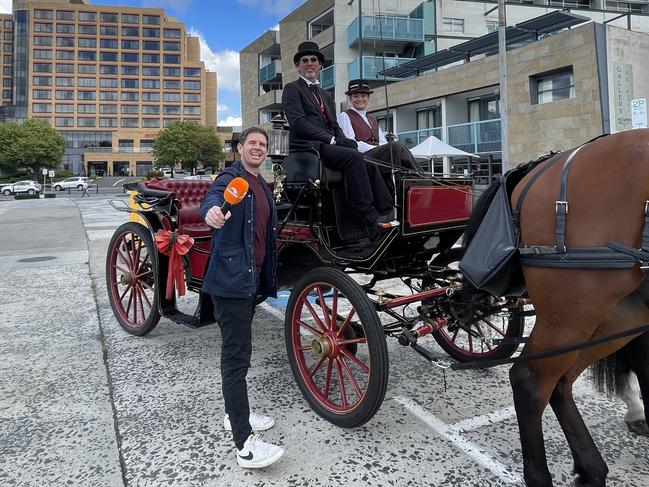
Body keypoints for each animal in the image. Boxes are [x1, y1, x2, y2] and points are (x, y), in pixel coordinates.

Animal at [468, 130, 648, 487]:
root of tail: (541, 168)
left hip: (614, 313)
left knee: (560, 379)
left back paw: (591, 468)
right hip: (573, 310)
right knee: (530, 380)